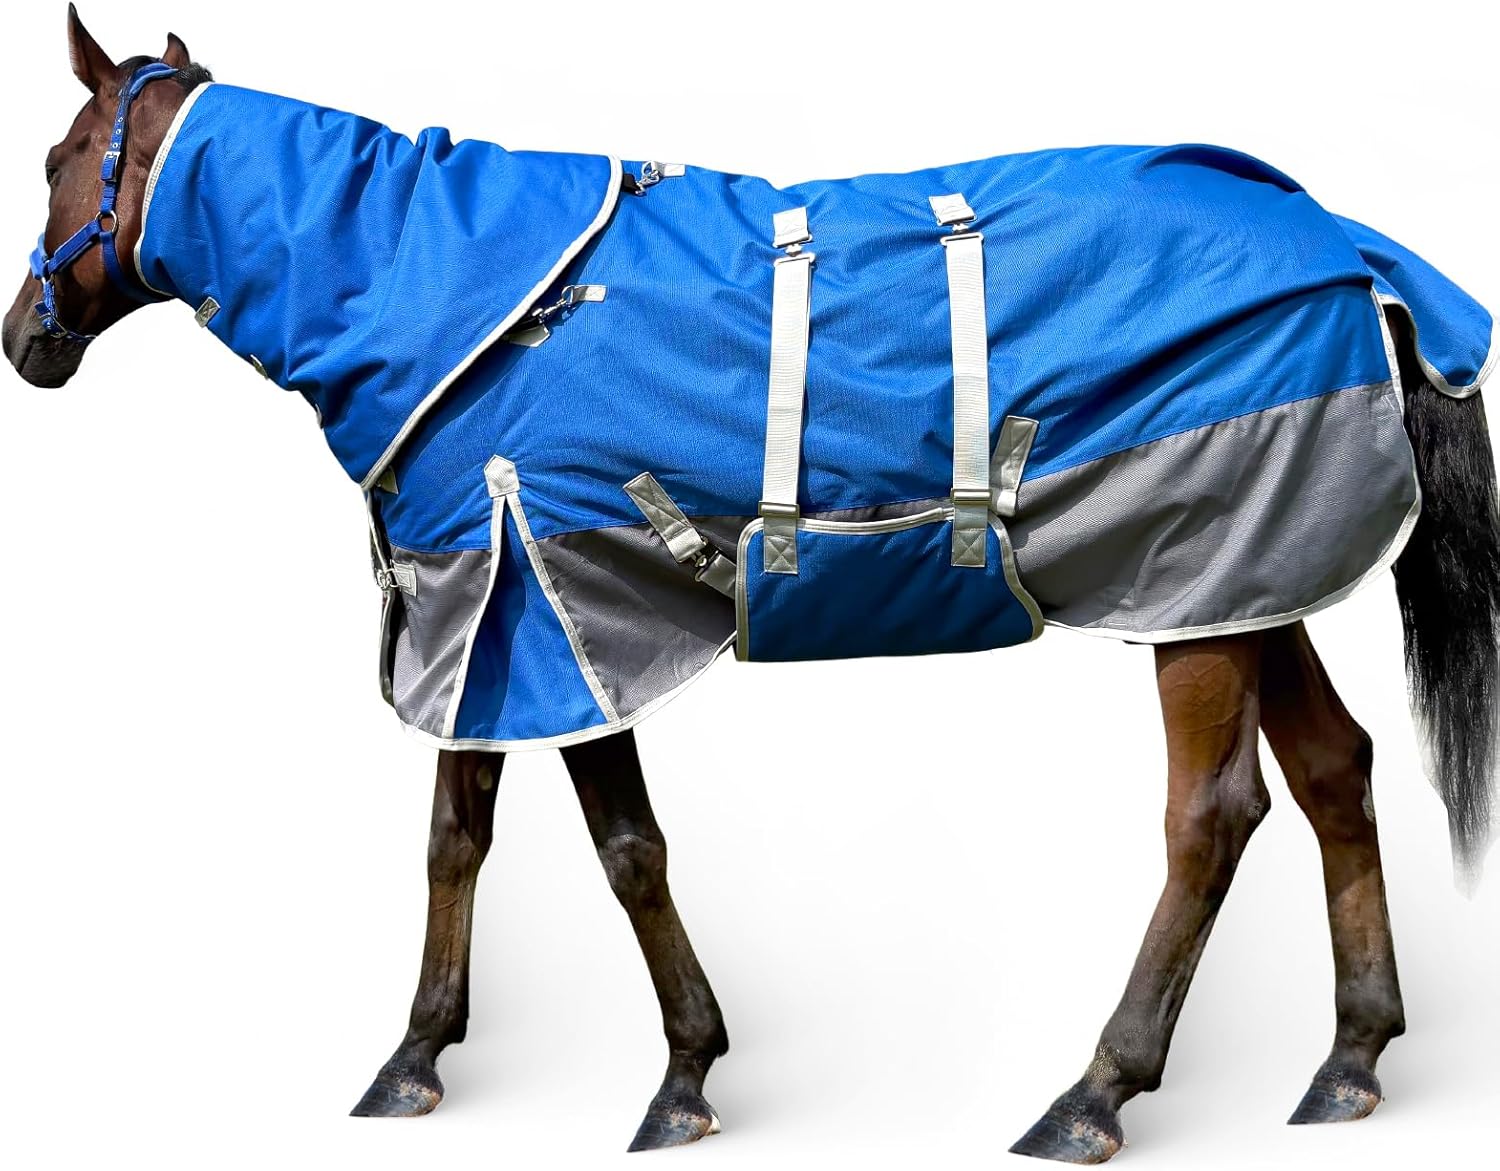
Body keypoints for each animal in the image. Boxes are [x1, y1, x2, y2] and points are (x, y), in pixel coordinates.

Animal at [5, 8, 1496, 1164]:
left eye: (60, 159)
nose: (26, 340)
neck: (444, 294)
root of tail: (1345, 240)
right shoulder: (484, 608)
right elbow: (460, 837)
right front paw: (421, 1057)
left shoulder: (540, 602)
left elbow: (620, 847)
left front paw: (677, 1076)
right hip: (1238, 578)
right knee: (1335, 769)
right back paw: (1350, 1060)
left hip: (1192, 586)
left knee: (1212, 817)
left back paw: (1094, 1092)